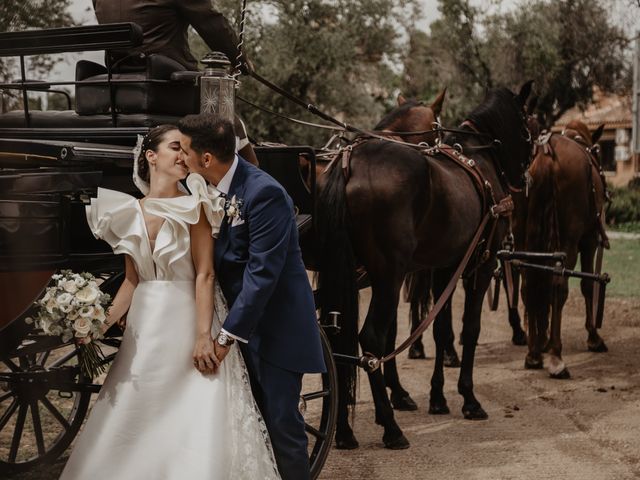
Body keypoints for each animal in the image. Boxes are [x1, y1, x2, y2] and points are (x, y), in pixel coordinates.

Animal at [318, 83, 532, 450]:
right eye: (529, 124)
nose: (524, 176)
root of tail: (350, 162)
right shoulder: (481, 264)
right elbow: (469, 329)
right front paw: (468, 399)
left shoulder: (443, 267)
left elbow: (440, 329)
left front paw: (436, 397)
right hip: (388, 276)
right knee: (371, 338)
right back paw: (391, 427)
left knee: (340, 340)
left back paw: (344, 431)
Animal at [524, 118, 608, 376]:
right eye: (598, 151)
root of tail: (548, 154)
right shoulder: (589, 241)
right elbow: (587, 285)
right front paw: (593, 337)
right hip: (568, 242)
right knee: (558, 286)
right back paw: (556, 357)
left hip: (530, 236)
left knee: (531, 280)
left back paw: (534, 353)